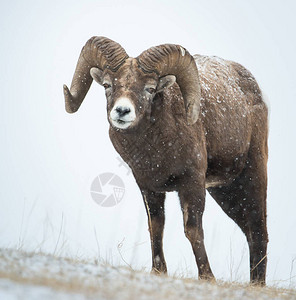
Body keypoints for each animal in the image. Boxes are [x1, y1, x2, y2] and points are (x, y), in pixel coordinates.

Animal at [63, 36, 270, 284]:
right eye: (107, 85)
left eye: (150, 89)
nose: (122, 111)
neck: (156, 148)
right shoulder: (148, 187)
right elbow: (156, 227)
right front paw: (158, 271)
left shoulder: (192, 184)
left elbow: (193, 230)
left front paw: (207, 277)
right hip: (225, 191)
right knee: (249, 231)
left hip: (253, 175)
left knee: (258, 231)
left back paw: (257, 284)